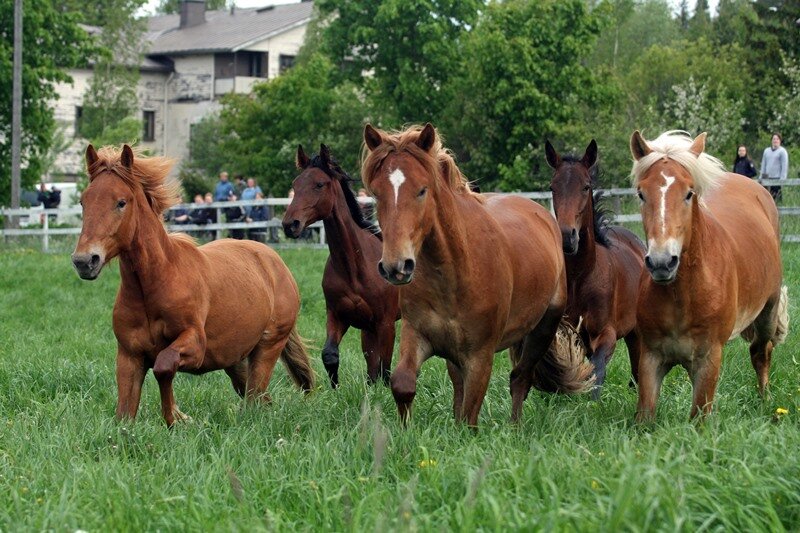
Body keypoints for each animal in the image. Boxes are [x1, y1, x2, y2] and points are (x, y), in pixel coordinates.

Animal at [72, 143, 314, 426]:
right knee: (260, 399)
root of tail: (275, 263)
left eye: (121, 202)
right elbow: (124, 414)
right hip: (235, 359)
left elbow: (163, 365)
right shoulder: (129, 356)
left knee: (256, 397)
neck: (155, 284)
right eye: (83, 202)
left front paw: (176, 417)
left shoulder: (195, 345)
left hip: (267, 348)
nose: (84, 260)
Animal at [284, 144, 404, 386]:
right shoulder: (338, 315)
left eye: (319, 184)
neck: (355, 267)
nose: (290, 224)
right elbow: (330, 354)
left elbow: (385, 368)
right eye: (295, 184)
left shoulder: (386, 323)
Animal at [362, 122, 592, 426]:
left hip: (542, 330)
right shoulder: (417, 334)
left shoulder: (480, 357)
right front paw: (405, 431)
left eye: (422, 191)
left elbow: (471, 414)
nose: (395, 266)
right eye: (376, 194)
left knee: (520, 379)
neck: (455, 271)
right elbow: (403, 384)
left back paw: (515, 427)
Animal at [548, 139, 648, 396]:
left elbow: (597, 368)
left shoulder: (606, 333)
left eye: (586, 187)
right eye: (552, 188)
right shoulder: (567, 333)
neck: (580, 277)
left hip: (636, 333)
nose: (567, 237)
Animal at [632, 131, 788, 422]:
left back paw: (766, 402)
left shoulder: (708, 359)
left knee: (761, 352)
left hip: (767, 312)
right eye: (641, 194)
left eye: (688, 193)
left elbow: (699, 417)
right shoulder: (651, 358)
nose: (662, 263)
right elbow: (644, 417)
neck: (682, 295)